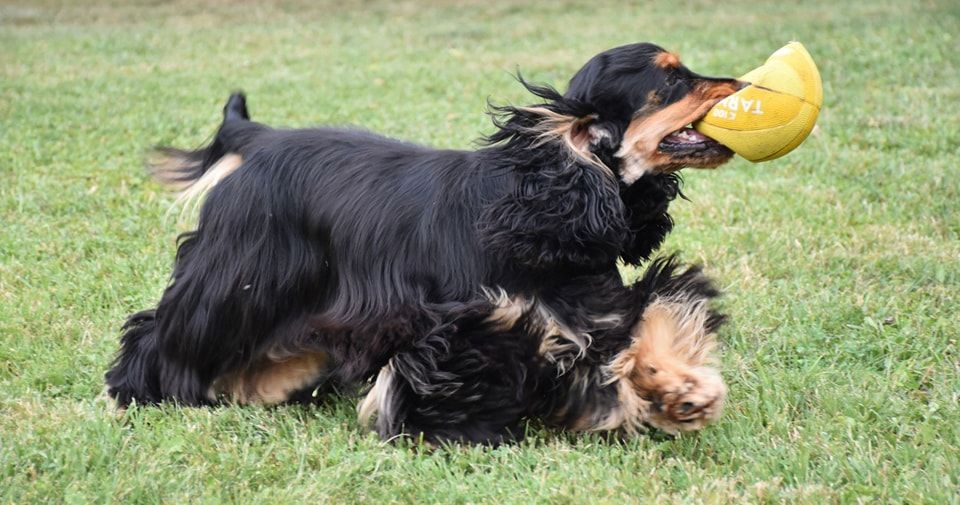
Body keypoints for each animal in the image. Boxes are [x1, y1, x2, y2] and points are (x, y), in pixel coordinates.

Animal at [105, 44, 740, 444]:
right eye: (673, 79)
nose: (740, 82)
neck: (545, 195)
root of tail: (259, 138)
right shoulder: (465, 325)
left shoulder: (589, 308)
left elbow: (652, 313)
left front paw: (680, 390)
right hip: (238, 280)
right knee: (159, 332)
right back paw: (138, 392)